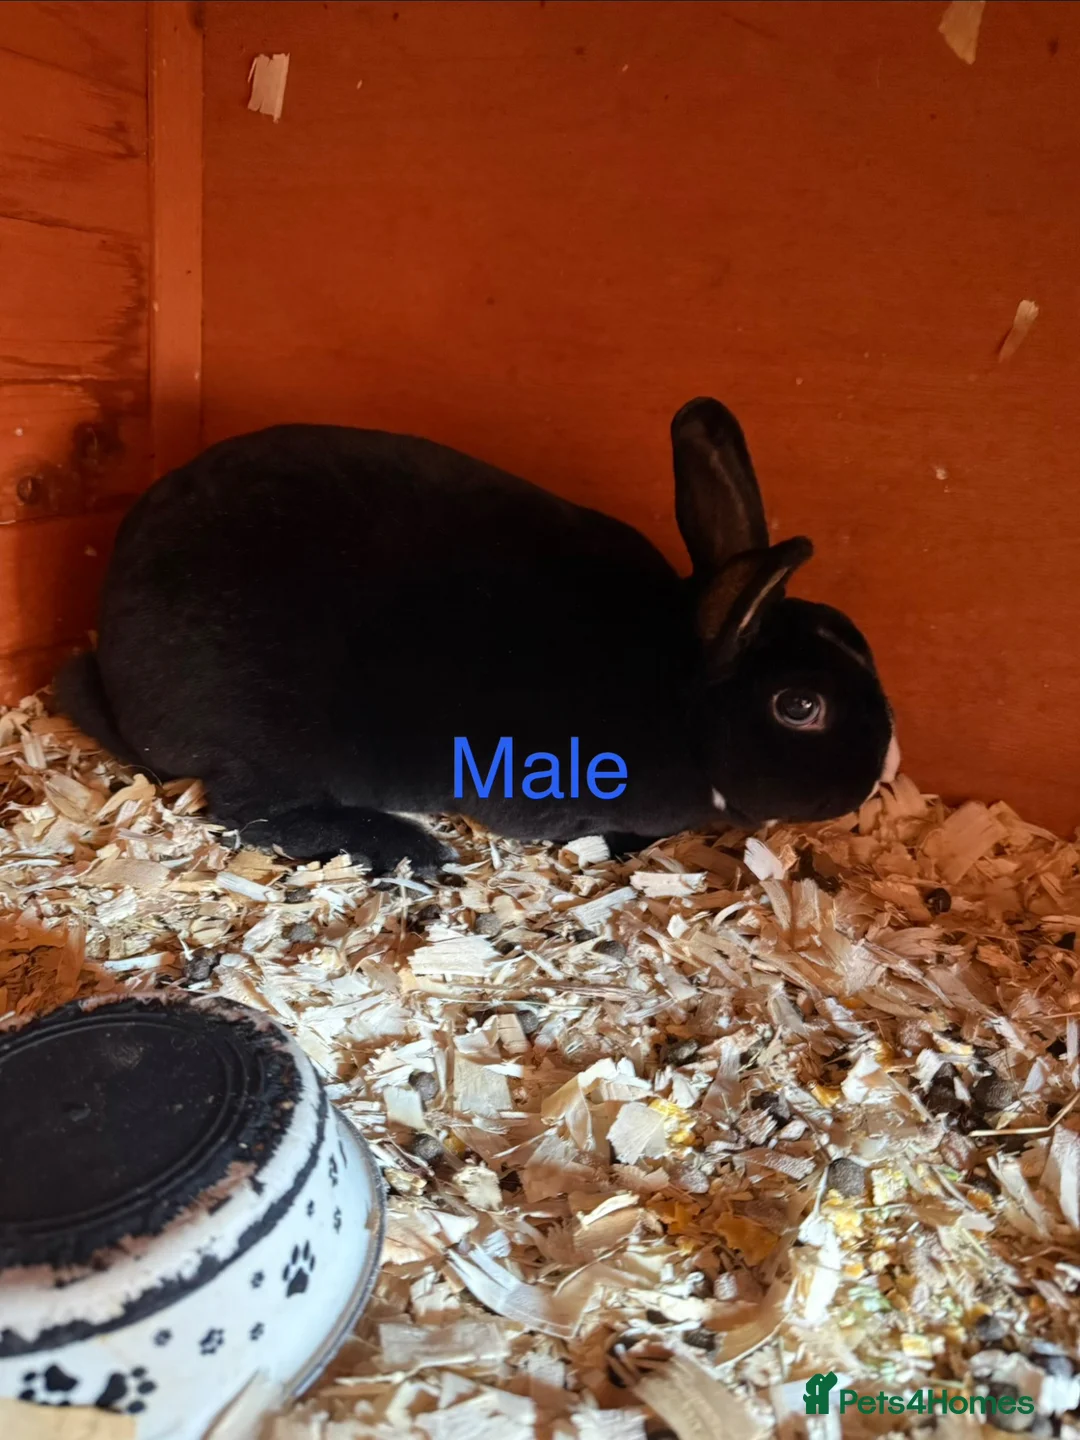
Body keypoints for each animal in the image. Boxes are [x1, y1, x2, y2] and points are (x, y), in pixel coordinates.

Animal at [56, 398, 899, 876]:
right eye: (799, 706)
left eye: (850, 631)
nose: (880, 774)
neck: (680, 693)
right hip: (271, 736)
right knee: (252, 813)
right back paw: (405, 848)